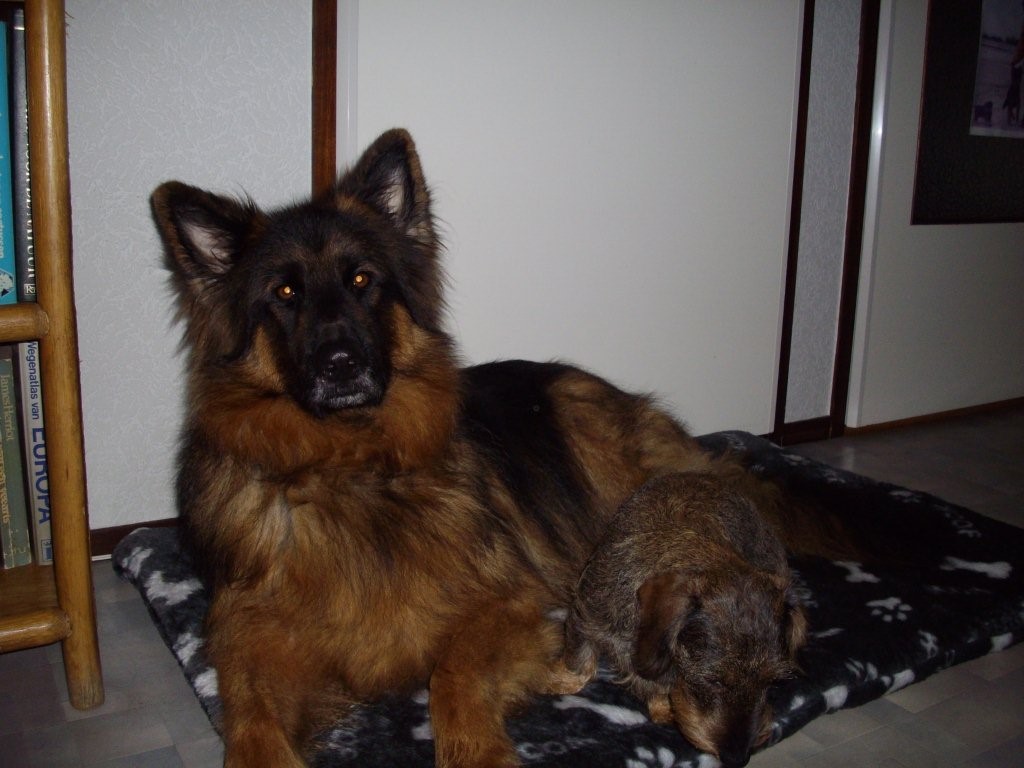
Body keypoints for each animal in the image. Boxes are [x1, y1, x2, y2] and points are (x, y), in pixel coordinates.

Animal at [561, 471, 806, 768]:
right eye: (713, 680)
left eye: (770, 682)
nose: (737, 758)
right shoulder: (587, 616)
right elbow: (580, 662)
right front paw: (559, 683)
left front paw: (662, 707)